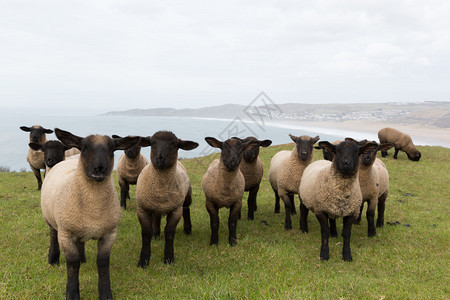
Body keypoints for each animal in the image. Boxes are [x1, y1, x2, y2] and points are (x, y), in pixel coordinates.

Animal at [40, 127, 140, 298]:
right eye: (84, 147)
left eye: (112, 148)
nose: (99, 168)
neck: (94, 208)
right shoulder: (66, 234)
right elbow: (72, 265)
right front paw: (72, 293)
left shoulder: (109, 234)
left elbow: (103, 263)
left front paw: (106, 293)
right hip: (51, 219)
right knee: (53, 235)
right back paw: (53, 259)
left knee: (80, 242)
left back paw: (82, 258)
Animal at [134, 130, 197, 266]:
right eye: (152, 143)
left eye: (174, 144)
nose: (160, 159)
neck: (161, 191)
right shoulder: (142, 209)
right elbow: (146, 233)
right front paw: (143, 261)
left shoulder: (175, 210)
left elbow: (169, 232)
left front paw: (168, 258)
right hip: (155, 206)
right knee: (157, 217)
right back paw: (156, 234)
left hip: (186, 197)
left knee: (186, 210)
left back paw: (188, 229)